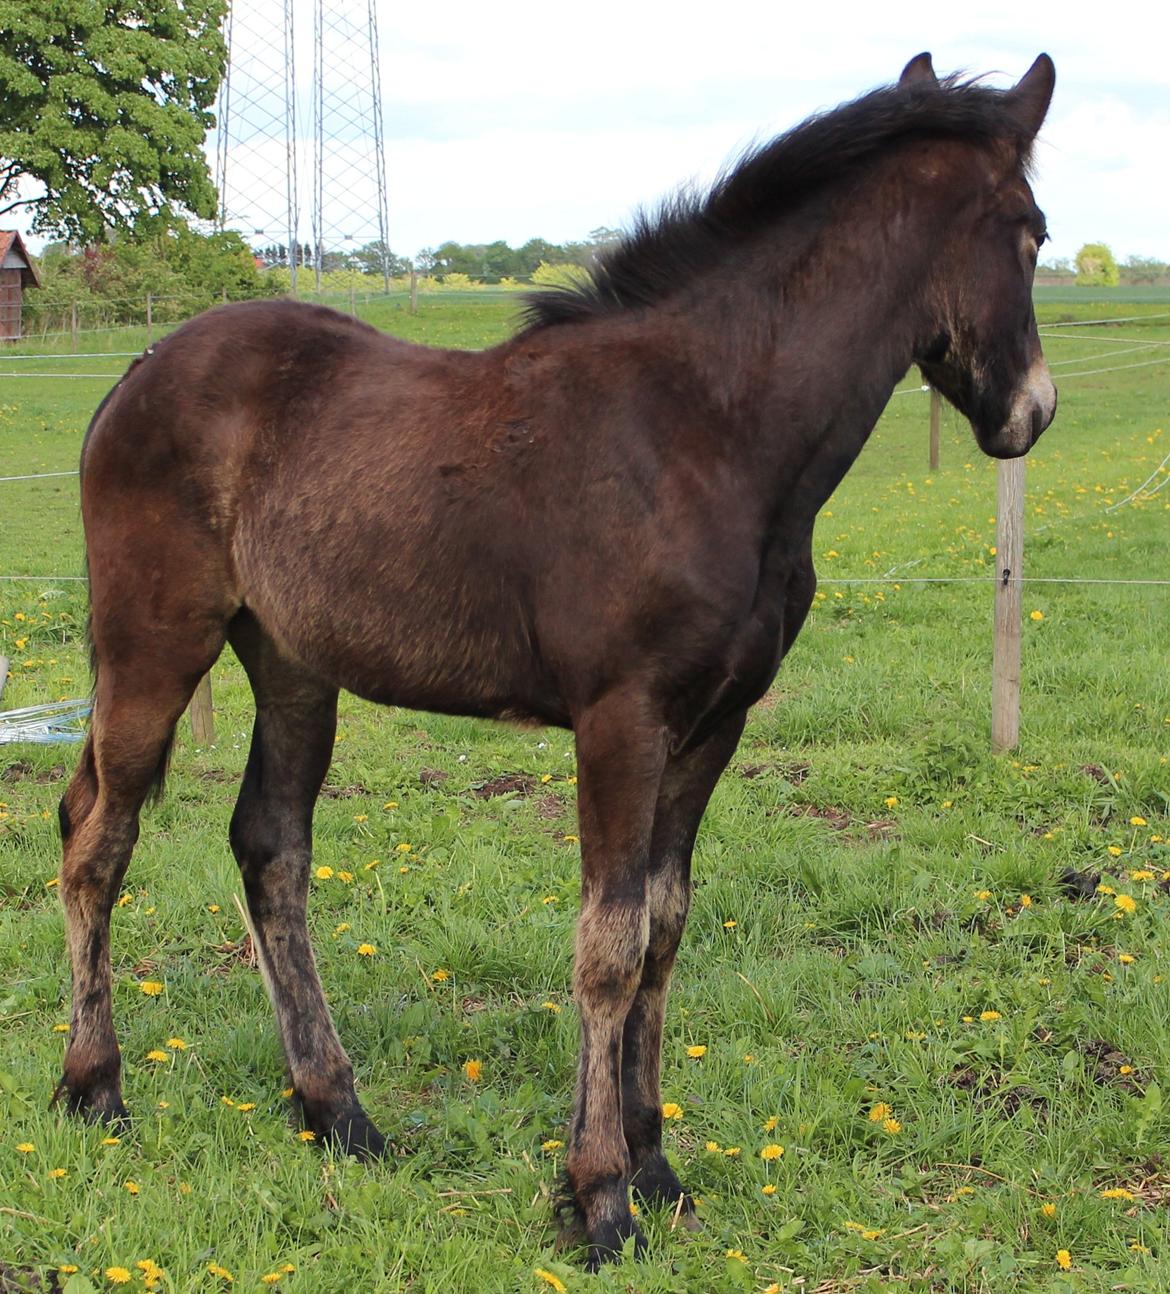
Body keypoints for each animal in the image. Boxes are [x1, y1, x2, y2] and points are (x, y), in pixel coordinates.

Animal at [59, 55, 1056, 1268]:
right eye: (1033, 233)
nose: (1030, 413)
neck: (705, 429)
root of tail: (136, 372)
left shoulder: (712, 722)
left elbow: (665, 927)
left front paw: (659, 1169)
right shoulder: (621, 717)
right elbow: (608, 946)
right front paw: (598, 1197)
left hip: (292, 661)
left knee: (270, 847)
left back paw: (337, 1112)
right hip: (153, 642)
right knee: (97, 837)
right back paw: (95, 1090)